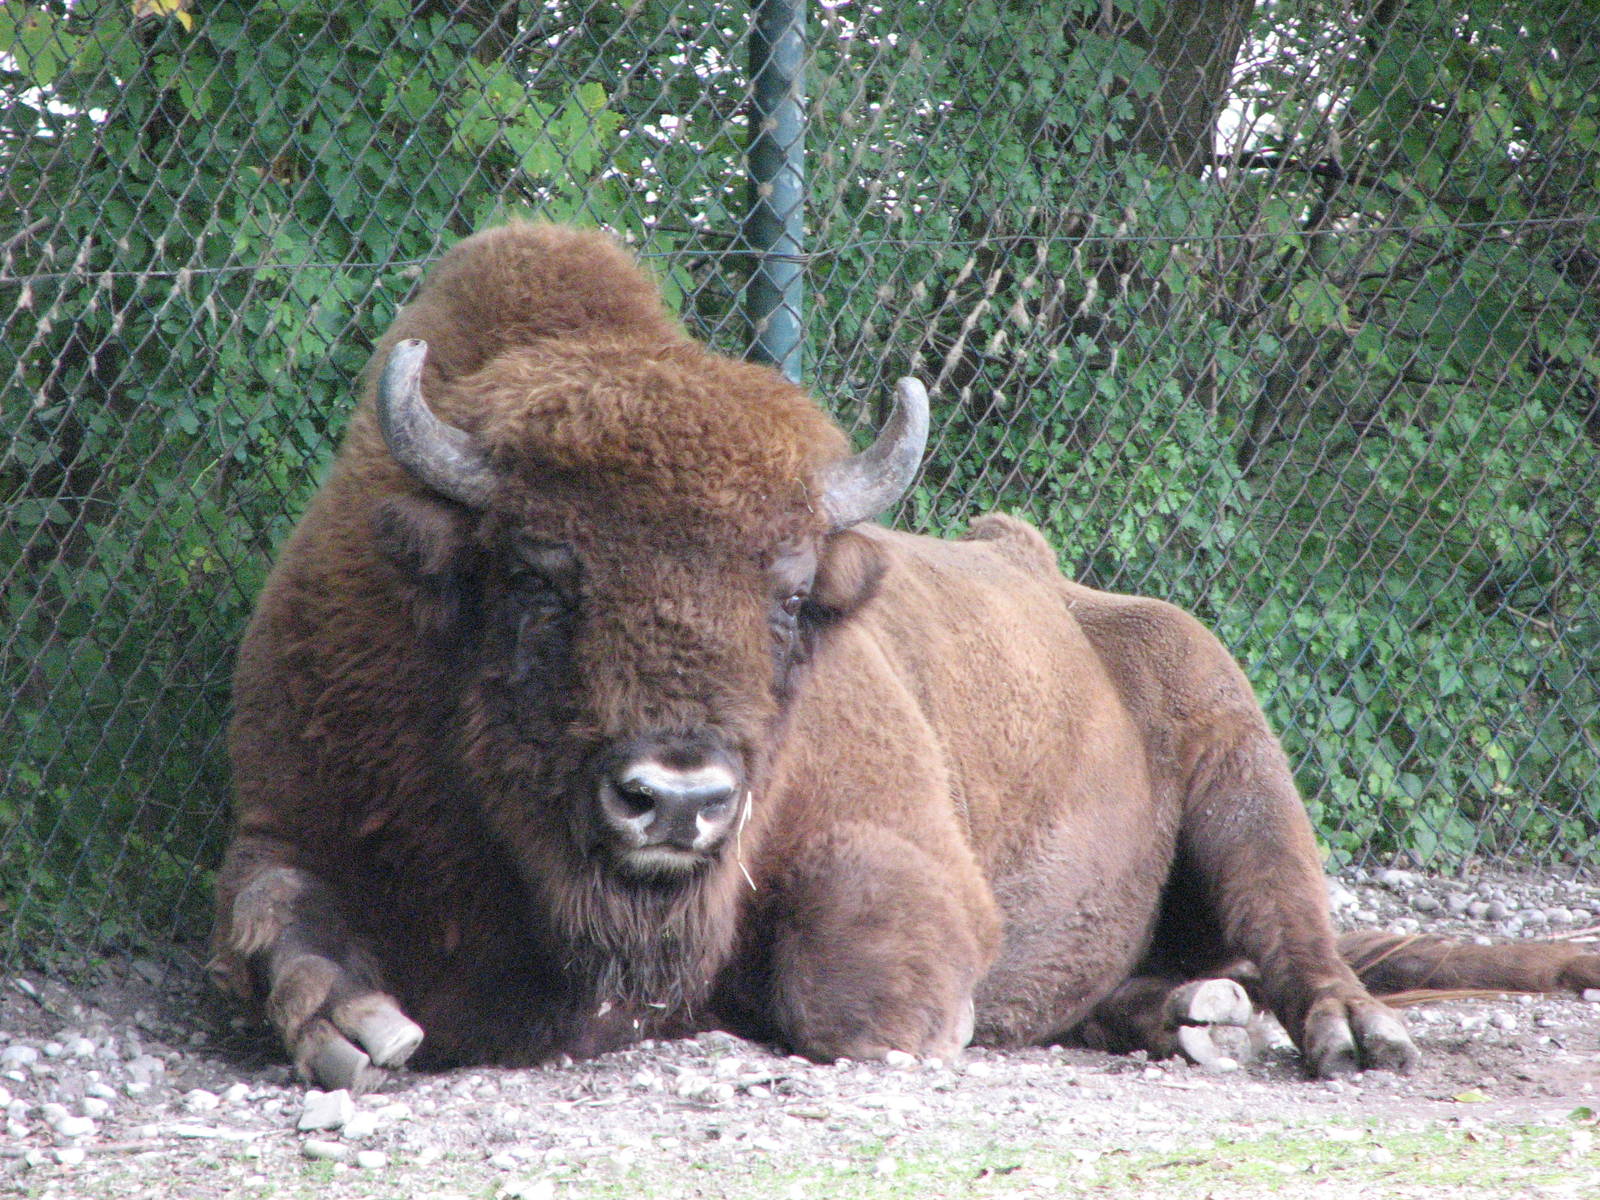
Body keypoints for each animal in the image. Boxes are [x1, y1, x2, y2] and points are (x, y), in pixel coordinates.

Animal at [211, 223, 1600, 1091]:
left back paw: (1343, 1034)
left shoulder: (897, 853)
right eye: (539, 577)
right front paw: (352, 1030)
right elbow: (273, 917)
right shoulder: (282, 813)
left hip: (1242, 762)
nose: (679, 800)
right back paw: (1189, 1014)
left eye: (786, 597)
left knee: (1294, 926)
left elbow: (862, 999)